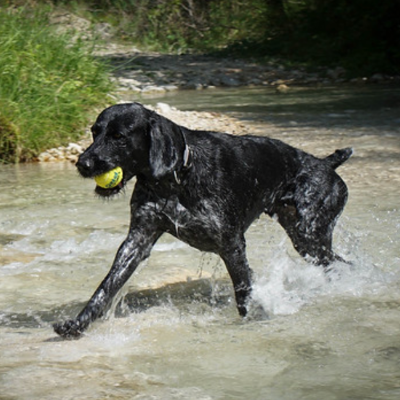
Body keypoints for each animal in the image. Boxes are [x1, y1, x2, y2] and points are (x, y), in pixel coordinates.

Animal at [54, 102, 354, 338]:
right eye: (95, 132)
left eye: (118, 136)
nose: (83, 163)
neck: (177, 176)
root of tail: (325, 163)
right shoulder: (136, 242)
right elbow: (105, 288)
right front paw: (78, 324)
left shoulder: (231, 245)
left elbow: (243, 291)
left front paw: (253, 320)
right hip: (306, 241)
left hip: (310, 237)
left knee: (343, 264)